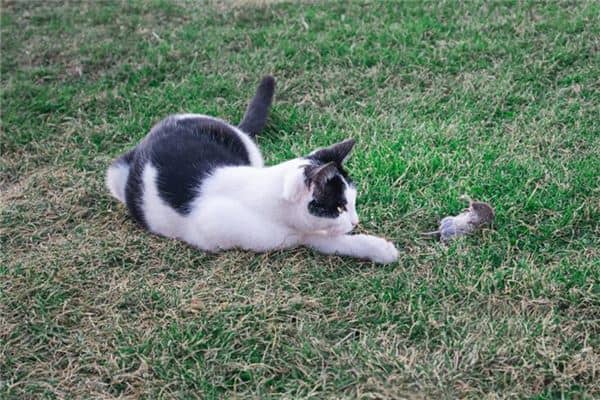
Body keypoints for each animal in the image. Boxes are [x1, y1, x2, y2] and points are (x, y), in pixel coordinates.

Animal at [108, 75, 398, 264]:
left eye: (354, 202)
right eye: (339, 207)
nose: (355, 221)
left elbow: (333, 240)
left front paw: (379, 249)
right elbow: (327, 238)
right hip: (113, 175)